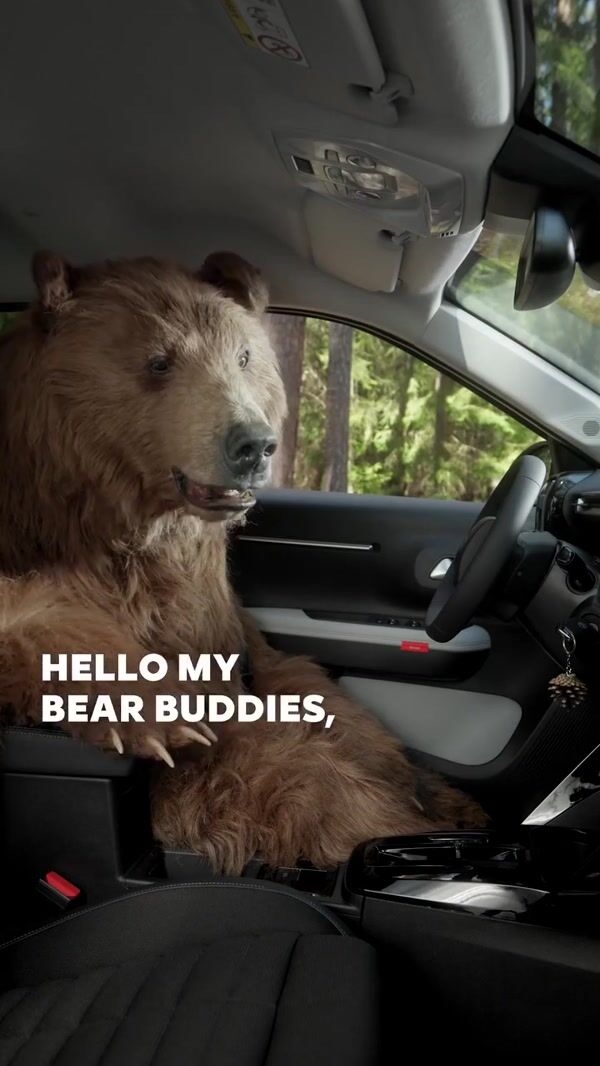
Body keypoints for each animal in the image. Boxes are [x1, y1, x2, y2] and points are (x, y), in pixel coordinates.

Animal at [0, 249, 486, 874]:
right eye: (158, 361)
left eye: (244, 356)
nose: (253, 444)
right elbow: (38, 614)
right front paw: (160, 714)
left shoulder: (216, 609)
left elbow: (308, 692)